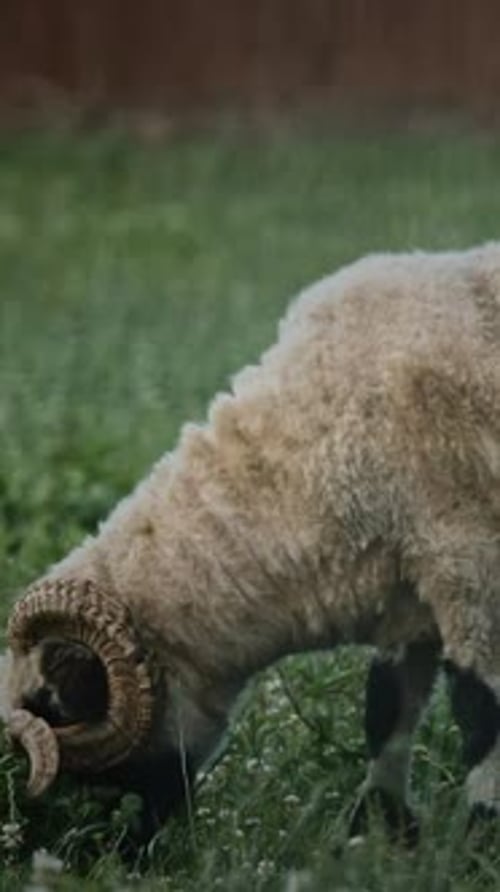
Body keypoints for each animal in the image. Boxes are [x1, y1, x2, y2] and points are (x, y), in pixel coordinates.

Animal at [4, 241, 500, 847]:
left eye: (53, 705)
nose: (107, 845)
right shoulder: (409, 601)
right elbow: (387, 713)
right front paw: (377, 833)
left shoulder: (469, 570)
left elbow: (481, 715)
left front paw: (479, 841)